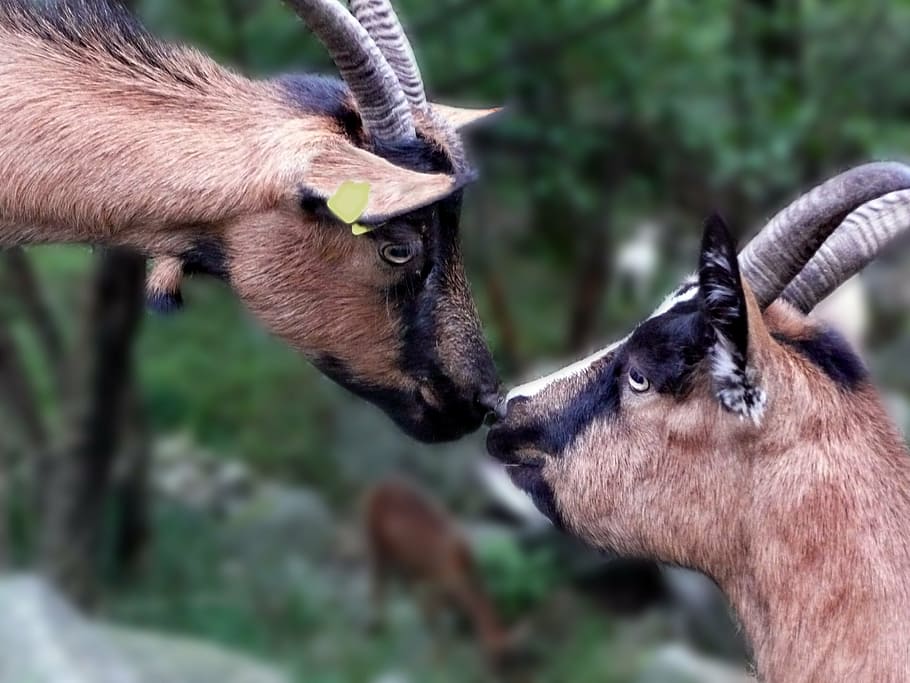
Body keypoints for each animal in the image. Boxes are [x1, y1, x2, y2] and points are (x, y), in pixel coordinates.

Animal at [365, 479, 519, 669]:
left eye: (510, 658)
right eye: (496, 657)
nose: (495, 671)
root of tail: (376, 486)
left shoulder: (441, 584)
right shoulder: (441, 582)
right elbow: (432, 615)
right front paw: (436, 659)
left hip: (398, 555)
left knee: (397, 581)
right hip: (374, 540)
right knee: (378, 581)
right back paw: (377, 626)